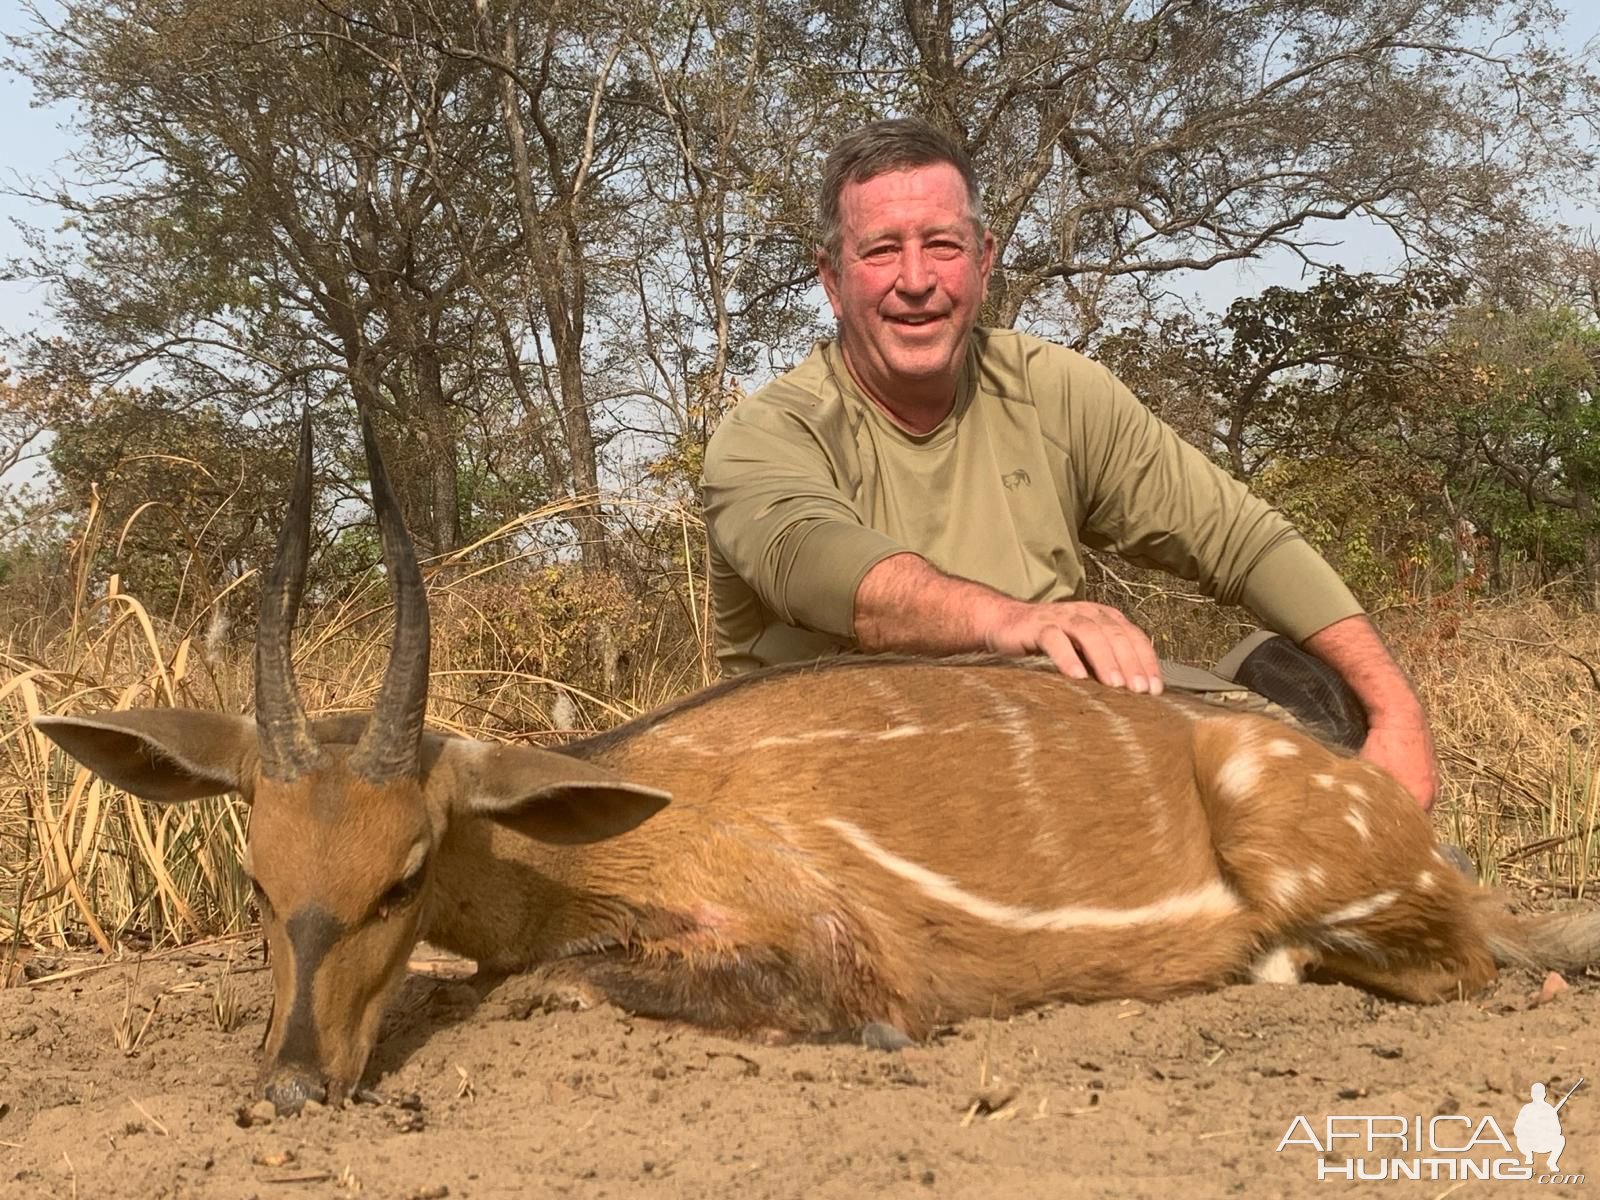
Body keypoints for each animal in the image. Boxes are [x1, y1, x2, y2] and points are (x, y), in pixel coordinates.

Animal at [34, 412, 1600, 1120]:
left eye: (405, 871)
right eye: (254, 875)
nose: (289, 1087)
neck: (597, 830)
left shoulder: (832, 953)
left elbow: (571, 979)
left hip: (1311, 849)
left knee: (1465, 962)